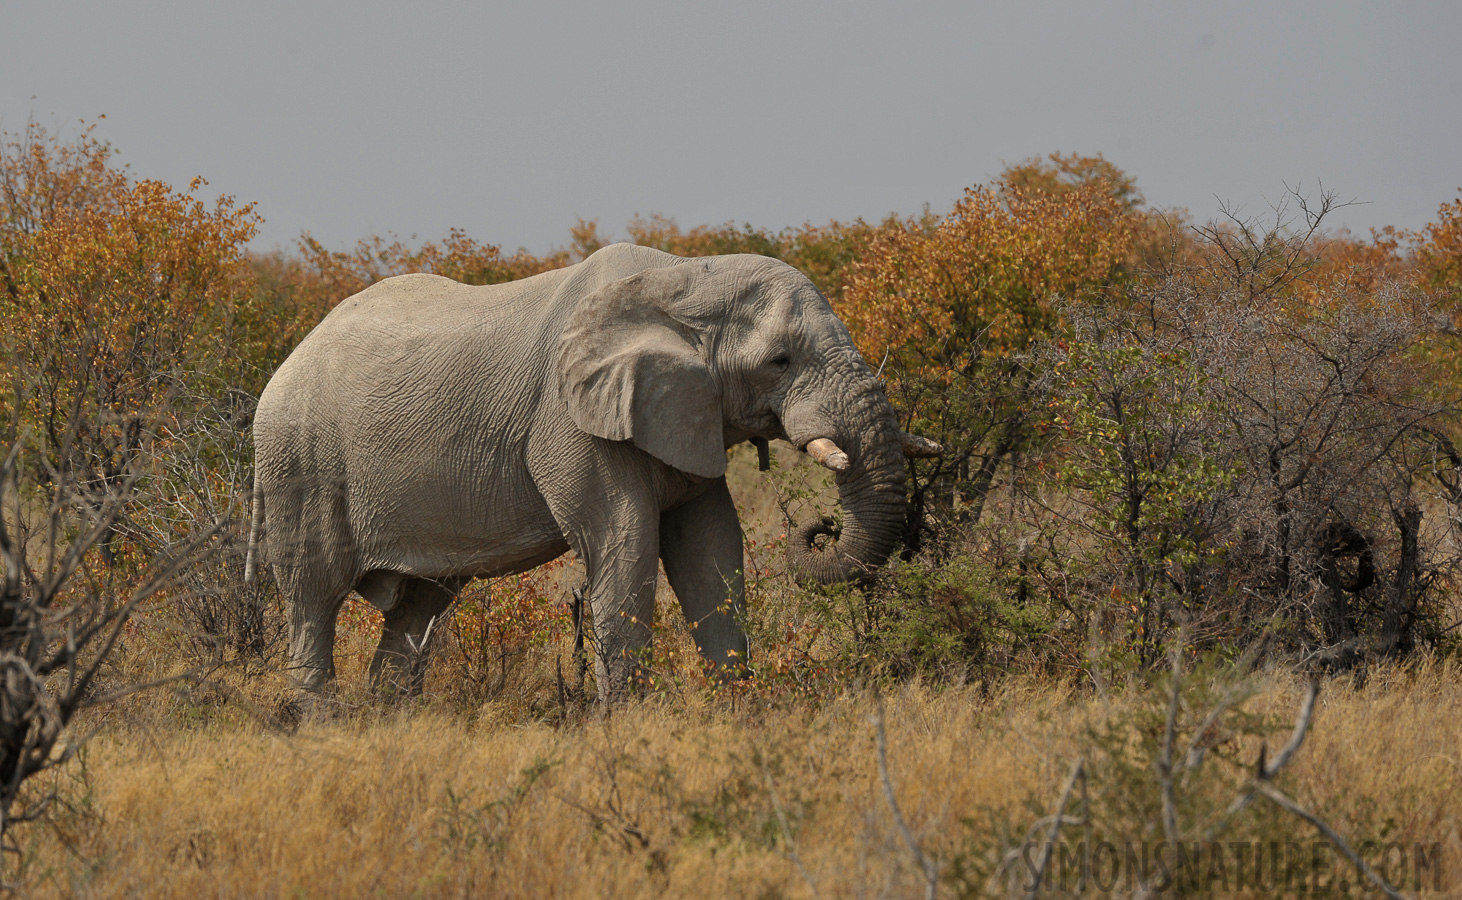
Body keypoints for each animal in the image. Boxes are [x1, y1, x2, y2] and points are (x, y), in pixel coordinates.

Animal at [247, 242, 941, 698]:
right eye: (780, 361)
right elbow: (625, 543)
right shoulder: (571, 421)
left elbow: (712, 548)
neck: (684, 278)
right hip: (298, 464)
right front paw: (626, 722)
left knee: (420, 603)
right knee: (313, 596)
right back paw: (320, 723)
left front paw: (737, 708)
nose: (821, 526)